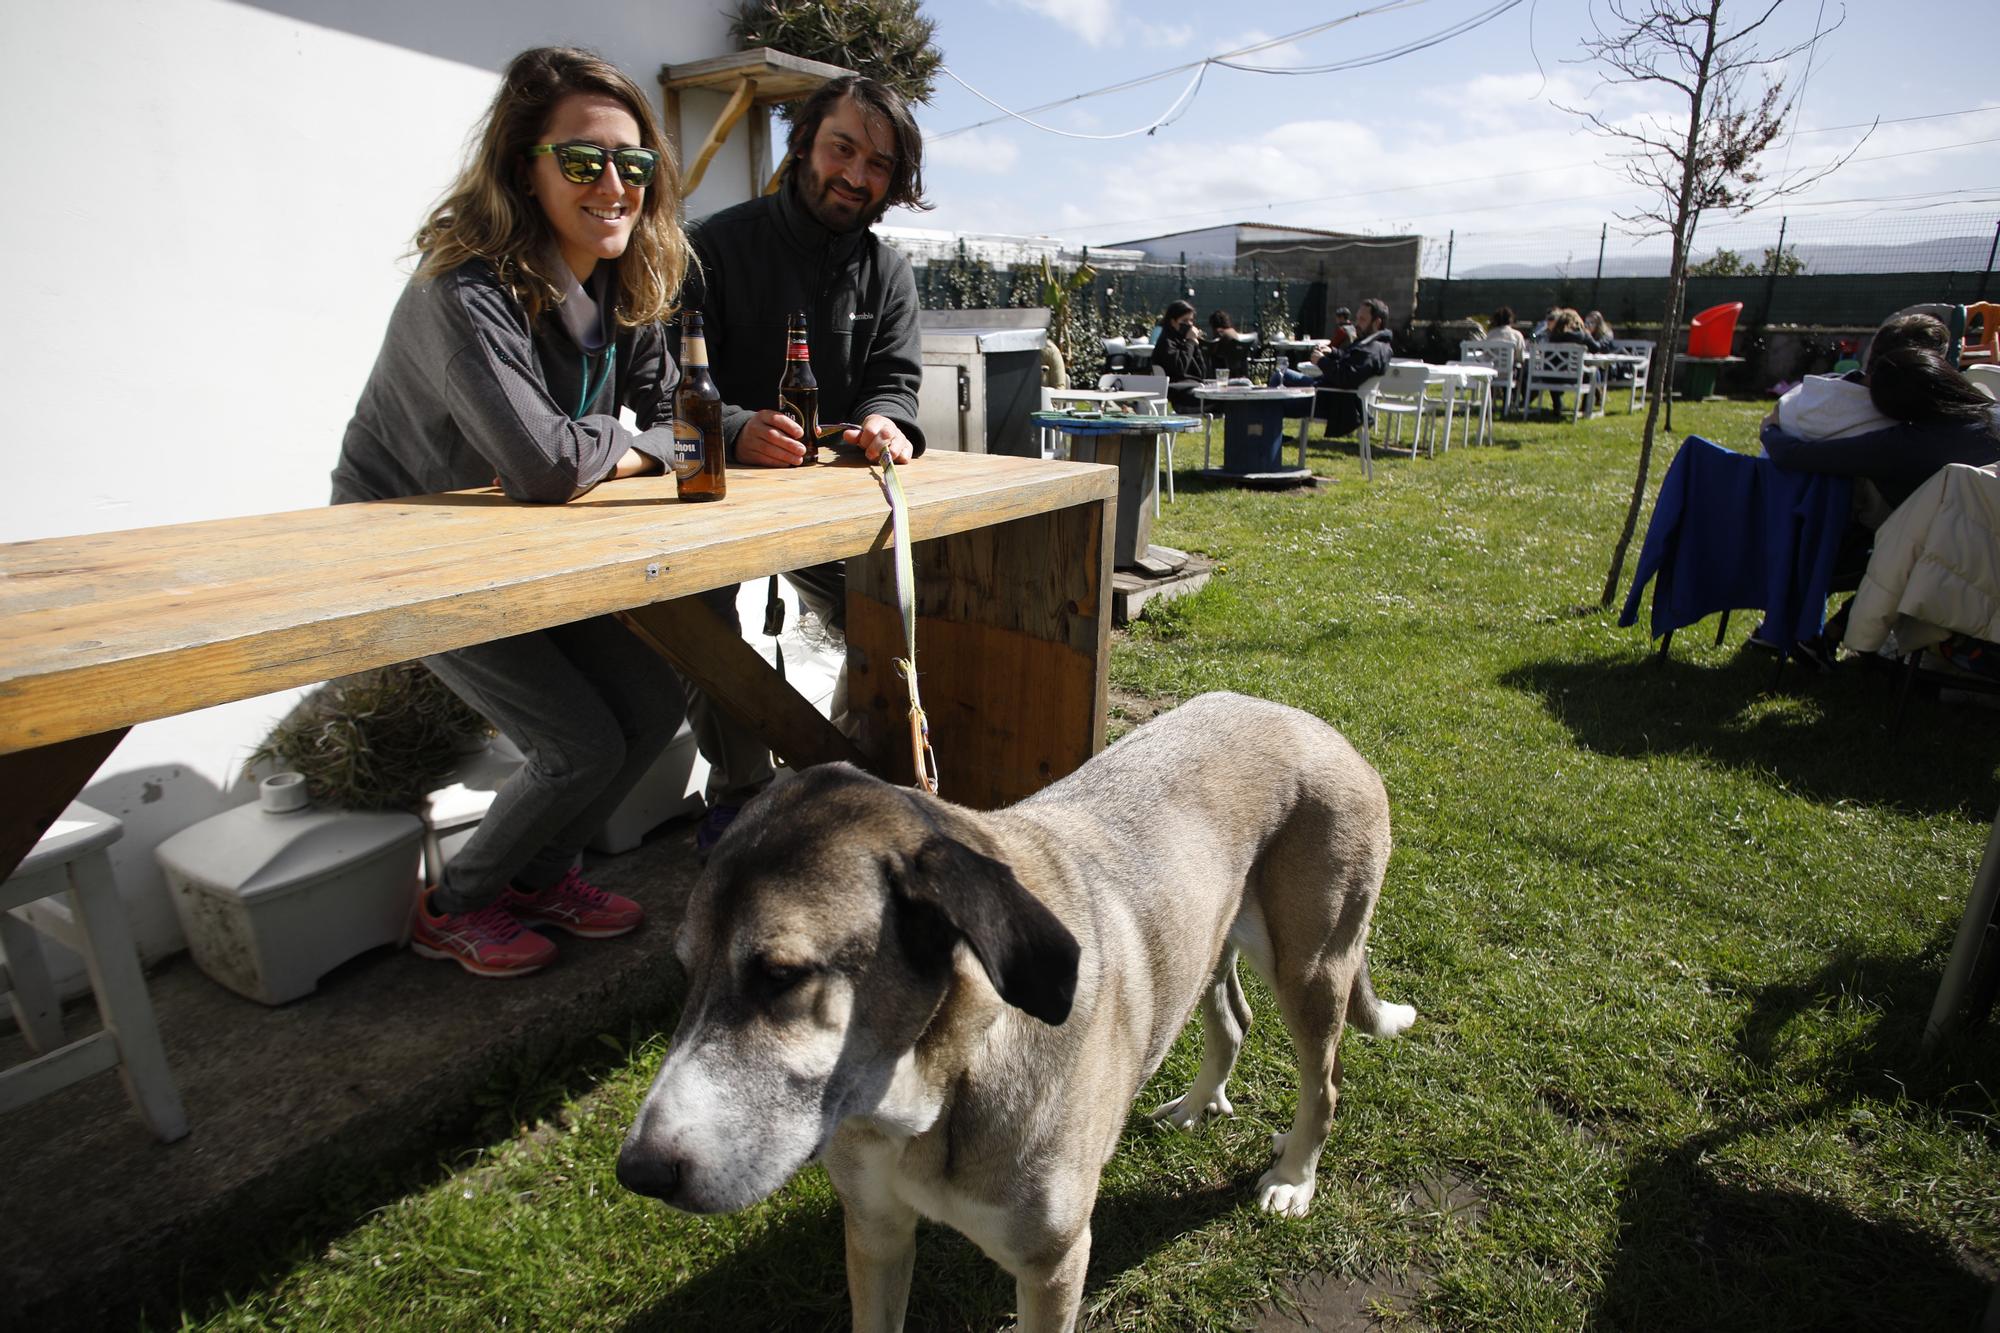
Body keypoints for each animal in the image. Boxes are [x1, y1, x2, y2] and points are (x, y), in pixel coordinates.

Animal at [616, 688, 1416, 1320]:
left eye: (781, 975)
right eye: (685, 971)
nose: (638, 1175)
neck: (940, 1082)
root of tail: (1311, 722)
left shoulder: (1052, 1265)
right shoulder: (875, 1235)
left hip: (1311, 967)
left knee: (1325, 1083)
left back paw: (1293, 1178)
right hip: (1209, 943)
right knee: (1233, 1020)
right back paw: (1196, 1103)